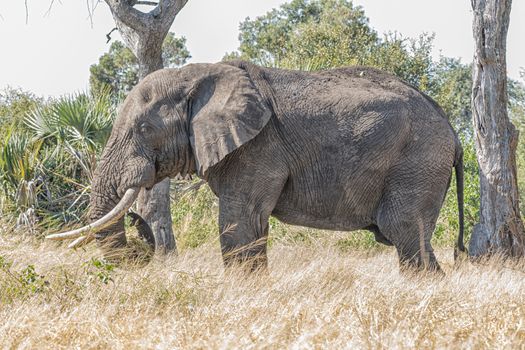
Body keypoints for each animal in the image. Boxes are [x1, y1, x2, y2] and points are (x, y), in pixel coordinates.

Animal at [47, 60, 464, 270]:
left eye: (145, 128)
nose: (138, 221)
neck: (196, 75)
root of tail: (453, 132)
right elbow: (252, 225)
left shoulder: (258, 147)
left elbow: (240, 221)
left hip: (419, 160)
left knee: (403, 232)